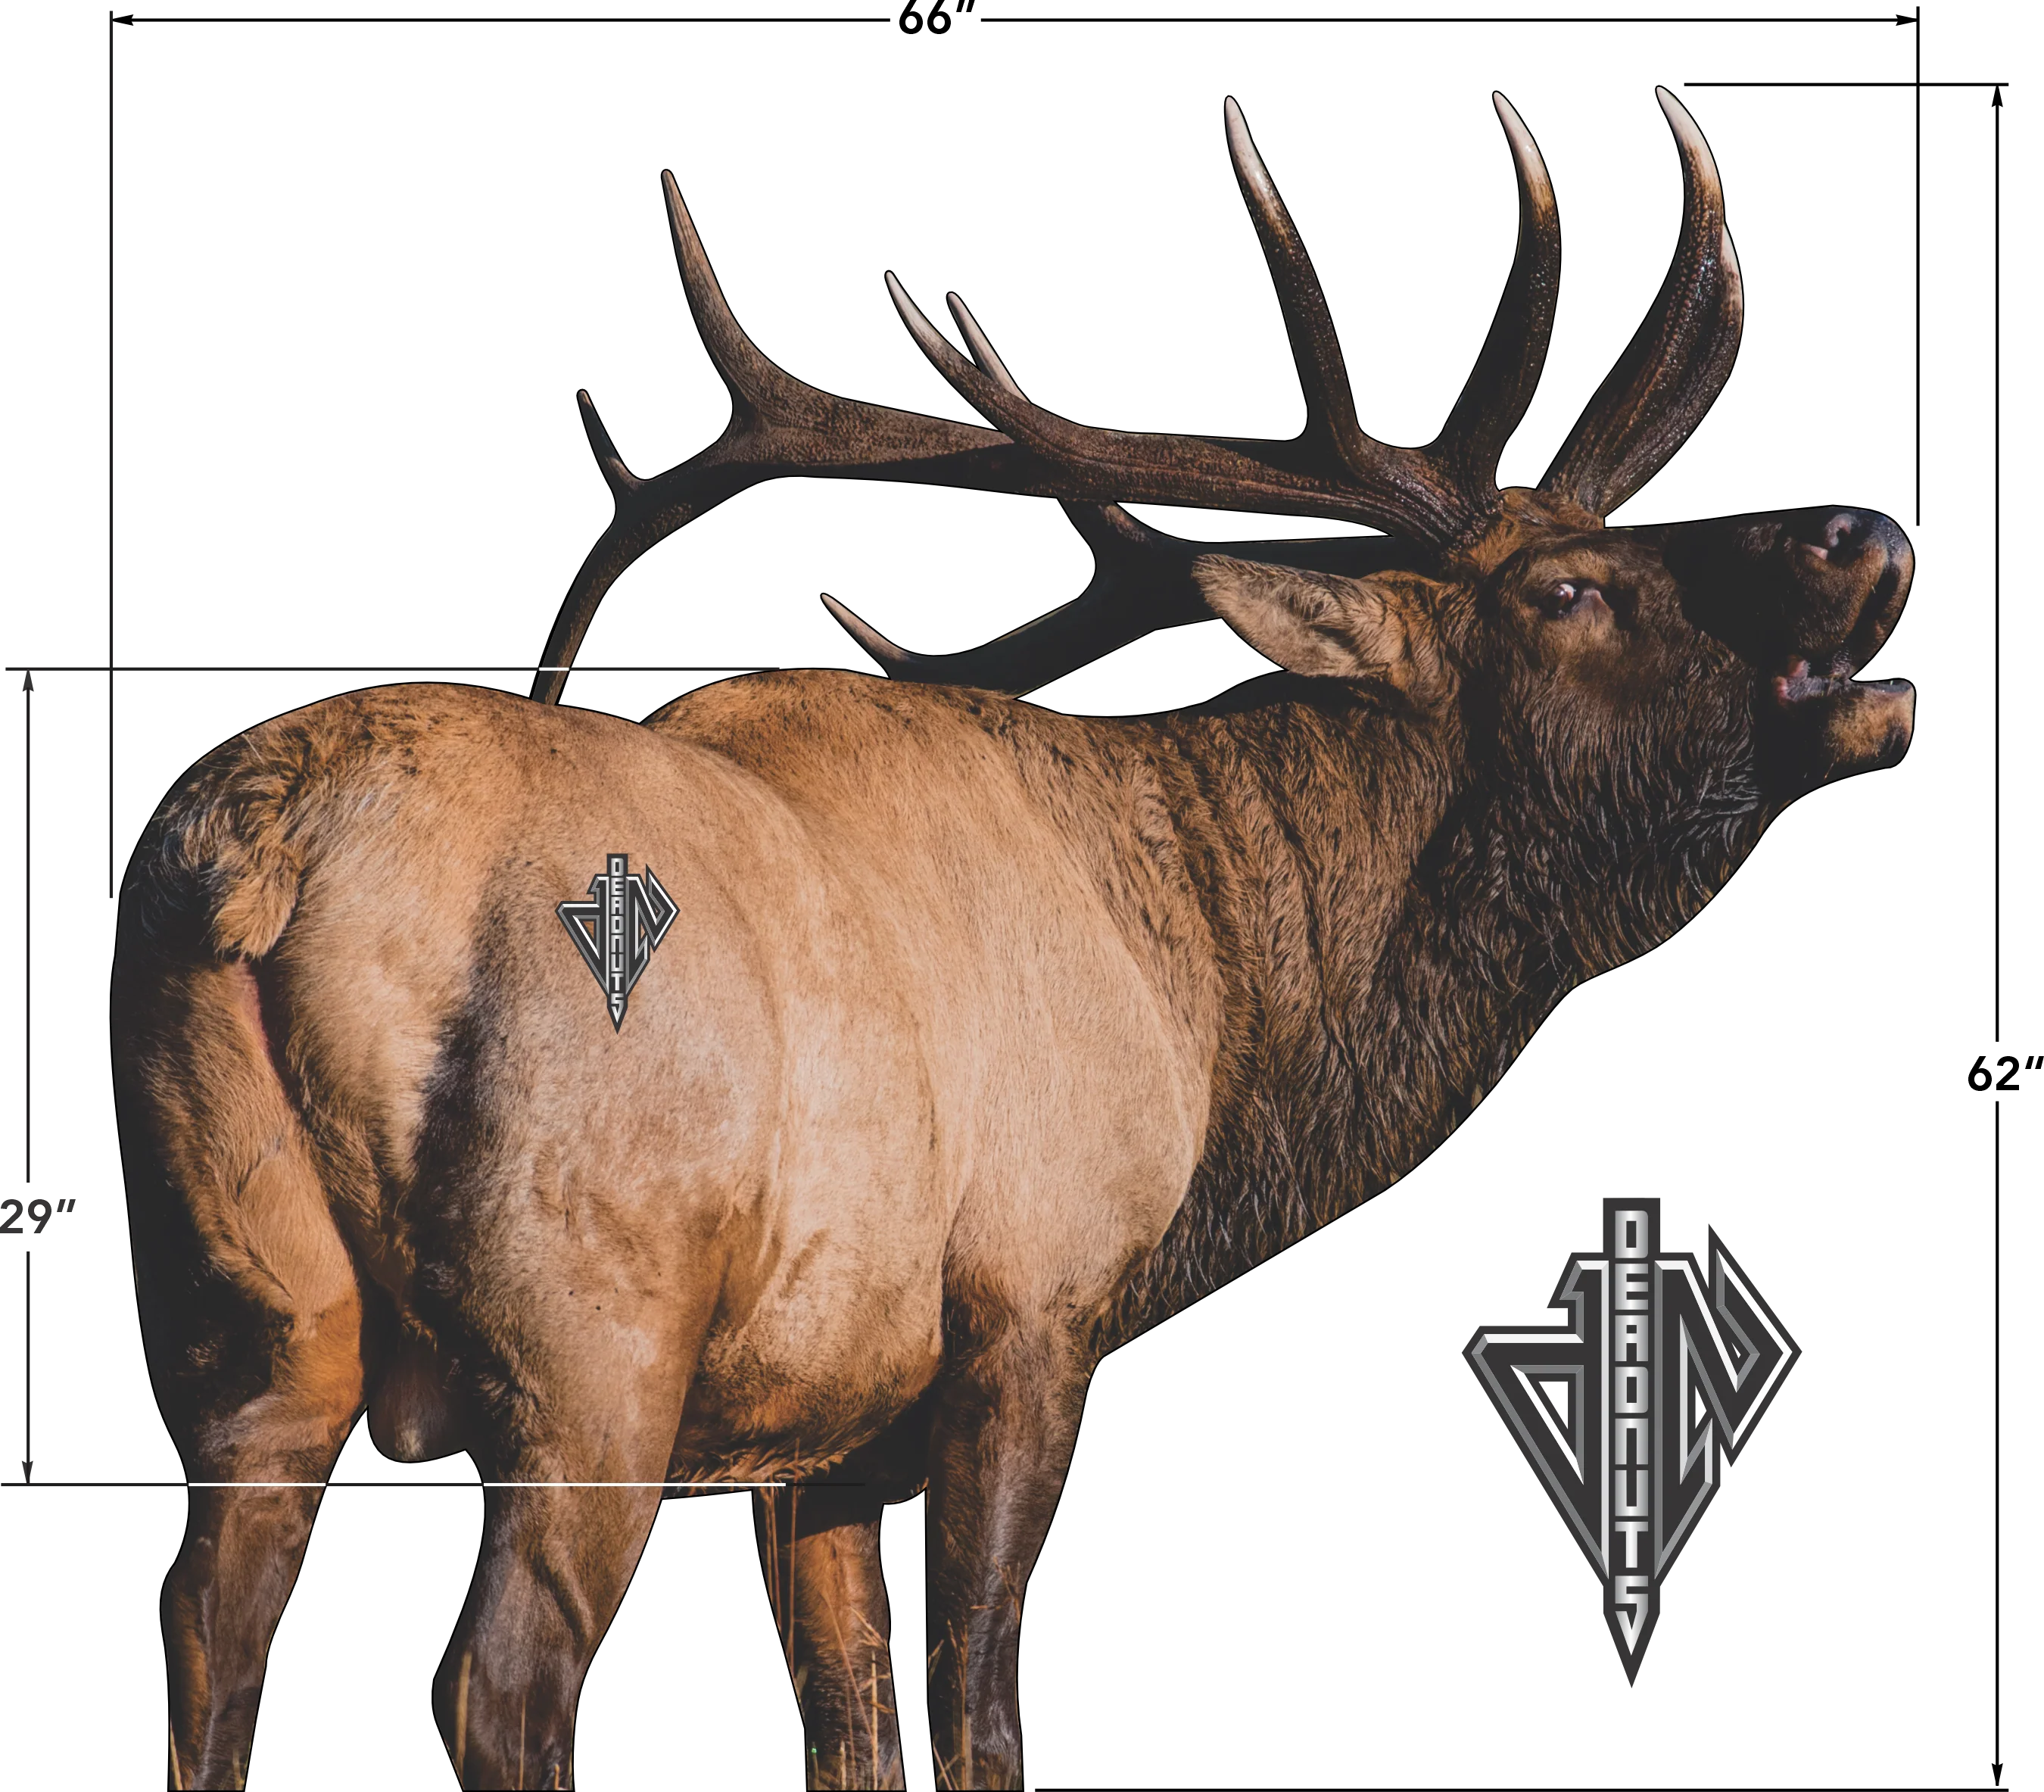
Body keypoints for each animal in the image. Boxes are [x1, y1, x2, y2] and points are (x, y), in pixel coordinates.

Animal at [113, 84, 1914, 1790]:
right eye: (1566, 588)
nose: (1866, 531)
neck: (1209, 1007)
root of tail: (262, 856)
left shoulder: (824, 1427)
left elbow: (851, 1721)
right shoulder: (1031, 1314)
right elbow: (983, 1704)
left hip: (241, 1317)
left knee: (206, 1624)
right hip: (587, 1332)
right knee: (499, 1679)